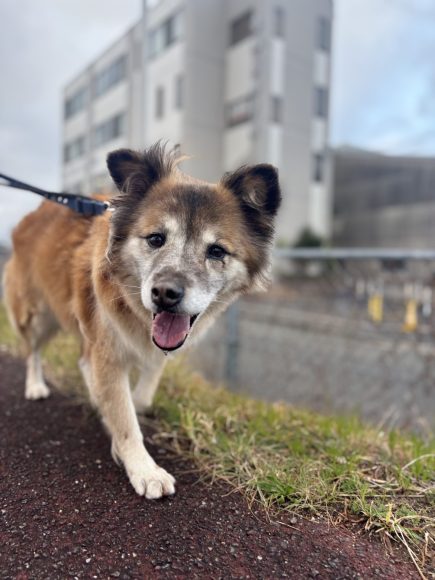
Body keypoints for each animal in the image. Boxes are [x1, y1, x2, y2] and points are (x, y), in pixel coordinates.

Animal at [3, 144, 281, 499]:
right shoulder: (106, 348)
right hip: (37, 316)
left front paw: (125, 409)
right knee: (32, 352)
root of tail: (33, 213)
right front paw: (144, 468)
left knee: (79, 359)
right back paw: (36, 385)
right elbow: (124, 419)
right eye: (156, 239)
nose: (164, 294)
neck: (135, 308)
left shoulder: (150, 346)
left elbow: (141, 392)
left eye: (217, 251)